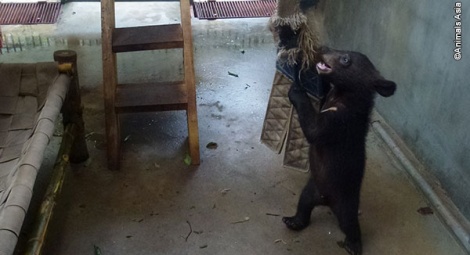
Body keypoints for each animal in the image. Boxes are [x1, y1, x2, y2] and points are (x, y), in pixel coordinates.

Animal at [282, 46, 396, 254]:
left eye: (345, 59)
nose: (322, 49)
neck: (341, 95)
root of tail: (326, 200)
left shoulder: (341, 119)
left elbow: (315, 130)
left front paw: (297, 90)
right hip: (313, 188)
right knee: (304, 203)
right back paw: (293, 221)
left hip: (345, 201)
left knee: (349, 224)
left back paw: (353, 245)